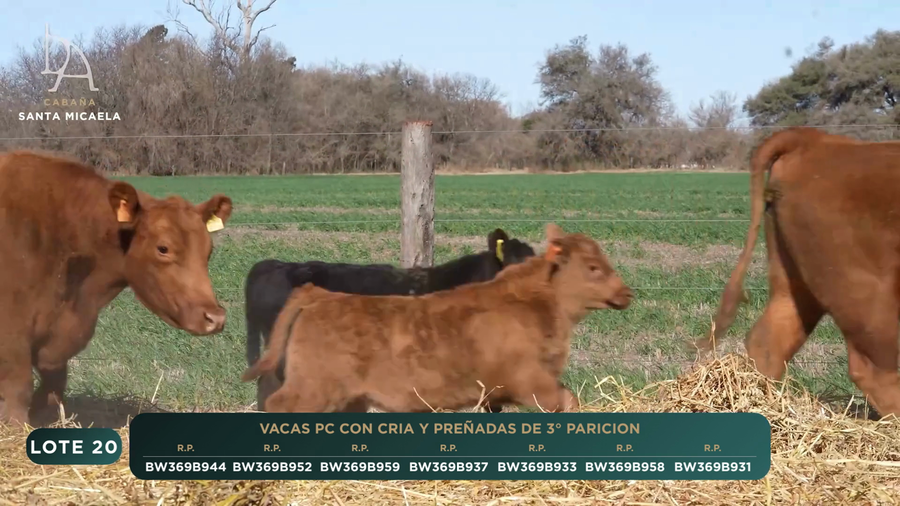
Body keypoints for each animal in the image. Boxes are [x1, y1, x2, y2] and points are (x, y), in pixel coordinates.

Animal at [0, 150, 233, 425]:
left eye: (209, 250)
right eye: (163, 248)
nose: (215, 318)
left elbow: (53, 389)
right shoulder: (12, 330)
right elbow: (19, 388)